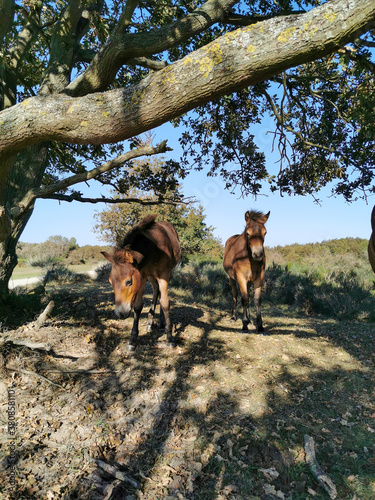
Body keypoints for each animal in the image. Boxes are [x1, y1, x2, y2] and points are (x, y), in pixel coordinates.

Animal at [101, 213, 181, 350]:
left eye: (128, 282)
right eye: (110, 281)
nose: (120, 314)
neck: (154, 249)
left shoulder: (164, 275)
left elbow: (165, 303)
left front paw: (170, 337)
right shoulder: (142, 275)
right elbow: (138, 306)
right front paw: (132, 339)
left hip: (166, 274)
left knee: (160, 295)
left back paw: (161, 324)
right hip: (151, 277)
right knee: (156, 291)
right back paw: (150, 323)